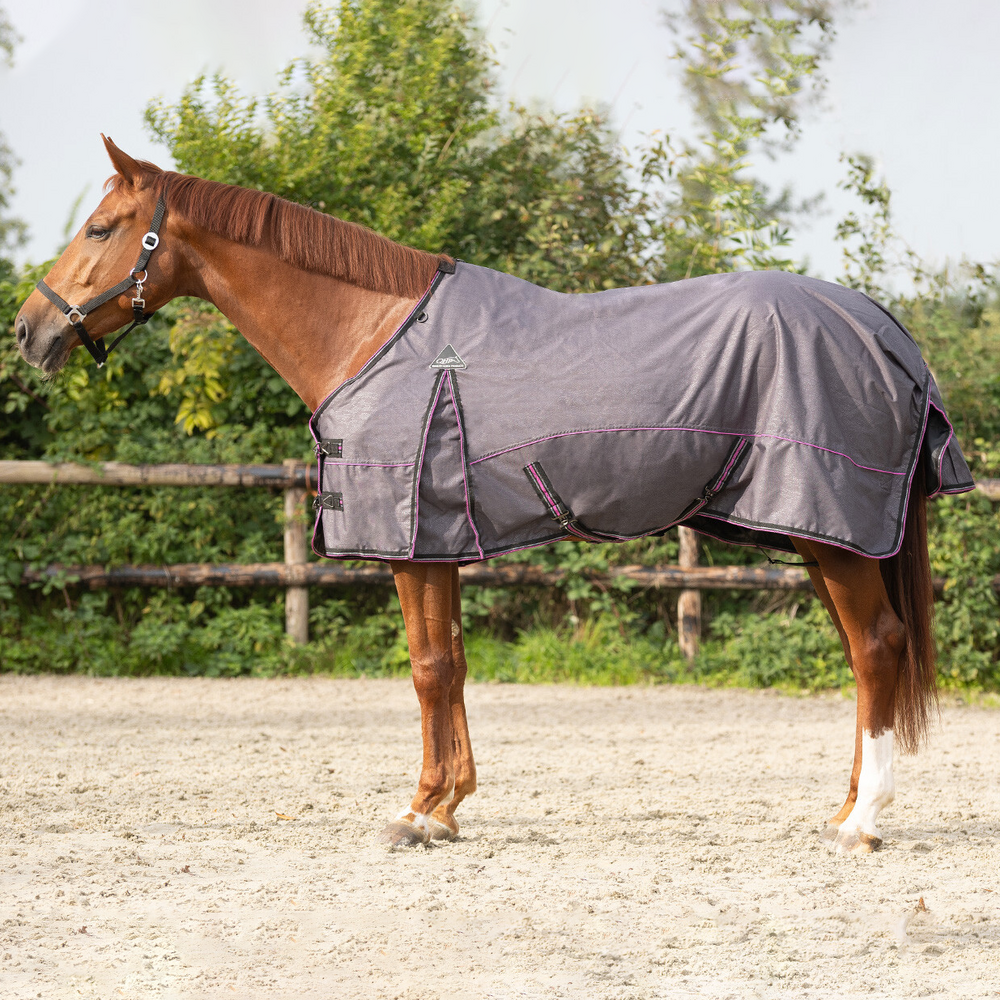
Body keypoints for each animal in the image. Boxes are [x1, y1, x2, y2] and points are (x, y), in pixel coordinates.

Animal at [15, 137, 974, 853]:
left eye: (101, 227)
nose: (29, 330)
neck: (369, 332)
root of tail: (885, 330)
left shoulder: (409, 536)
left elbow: (428, 669)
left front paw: (417, 813)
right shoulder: (434, 539)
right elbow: (451, 664)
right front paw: (446, 805)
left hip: (832, 533)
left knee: (877, 649)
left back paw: (863, 823)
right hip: (822, 539)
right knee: (863, 658)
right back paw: (844, 807)